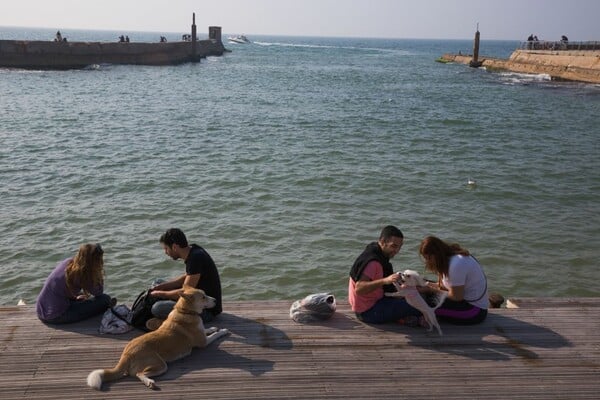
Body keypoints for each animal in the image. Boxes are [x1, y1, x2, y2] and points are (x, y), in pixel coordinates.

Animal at [87, 286, 230, 390]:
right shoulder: (204, 342)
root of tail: (126, 354)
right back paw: (150, 382)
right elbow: (215, 335)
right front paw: (223, 330)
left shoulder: (201, 333)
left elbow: (207, 329)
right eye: (203, 297)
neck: (185, 311)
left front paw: (214, 328)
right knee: (139, 374)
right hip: (160, 364)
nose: (215, 300)